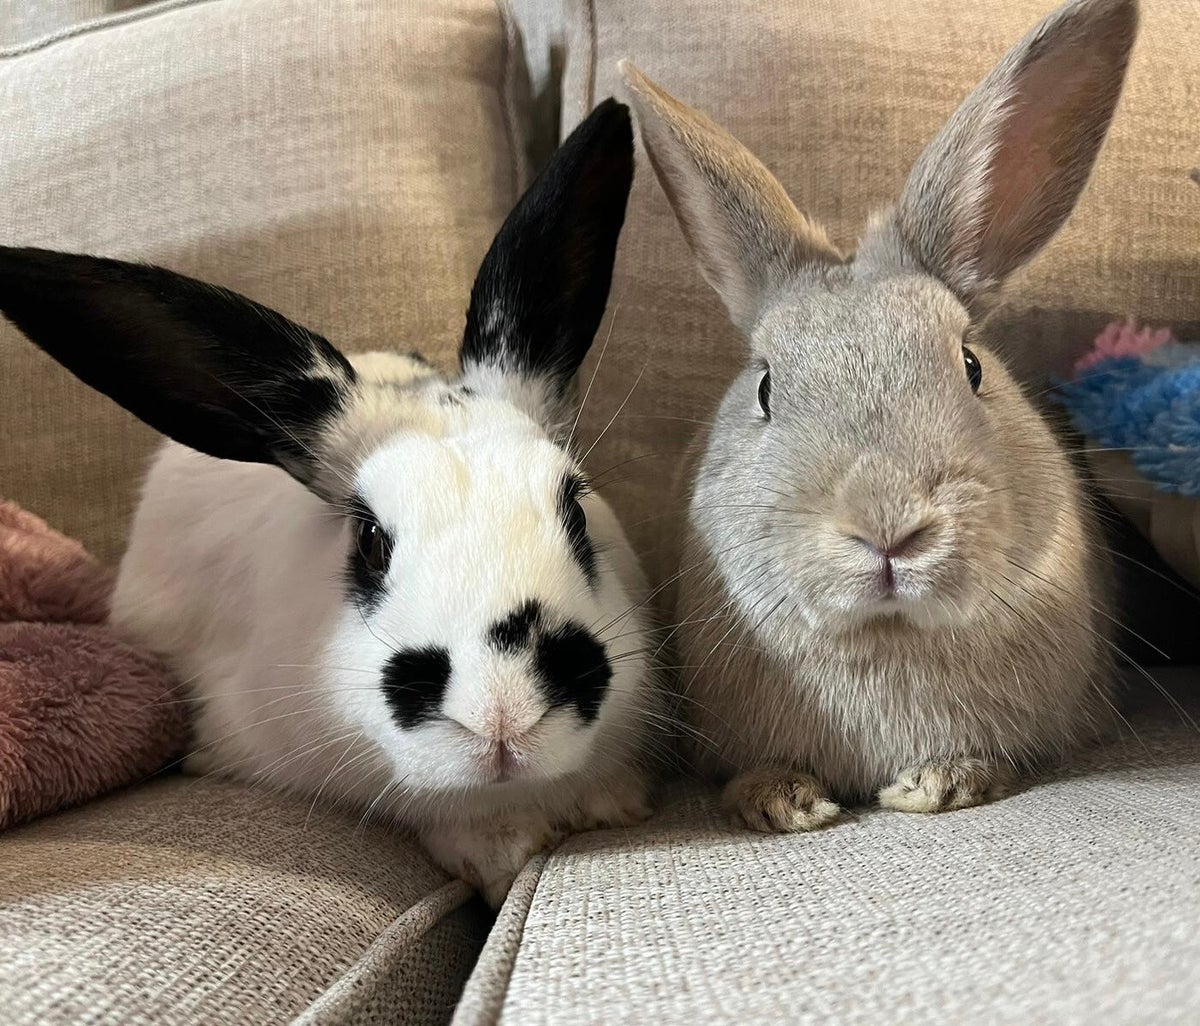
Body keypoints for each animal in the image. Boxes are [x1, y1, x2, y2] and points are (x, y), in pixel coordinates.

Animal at [620, 0, 1138, 831]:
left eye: (971, 364)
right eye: (765, 388)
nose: (888, 530)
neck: (886, 636)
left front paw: (936, 783)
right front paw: (782, 801)